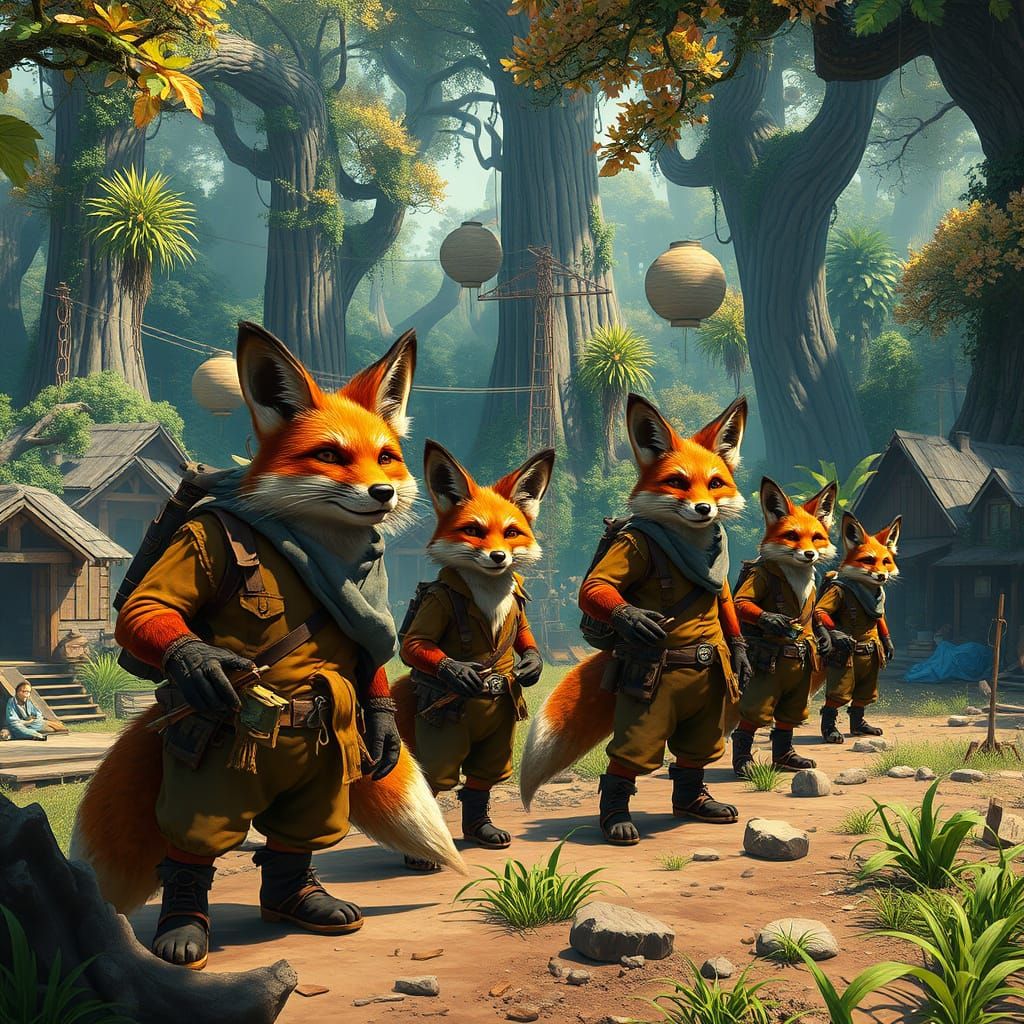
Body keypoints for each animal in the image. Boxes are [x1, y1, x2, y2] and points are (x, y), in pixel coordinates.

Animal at [71, 323, 463, 947]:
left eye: (385, 457)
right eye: (329, 456)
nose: (383, 493)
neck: (319, 548)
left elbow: (371, 668)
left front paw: (383, 728)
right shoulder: (201, 540)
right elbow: (148, 608)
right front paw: (204, 663)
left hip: (321, 773)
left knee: (296, 835)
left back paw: (300, 902)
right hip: (214, 775)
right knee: (195, 840)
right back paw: (183, 930)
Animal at [393, 441, 553, 868]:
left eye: (511, 532)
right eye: (474, 531)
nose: (499, 557)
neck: (487, 594)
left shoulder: (519, 611)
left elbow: (525, 637)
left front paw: (531, 666)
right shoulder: (435, 605)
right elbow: (415, 644)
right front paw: (459, 672)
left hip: (496, 736)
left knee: (483, 775)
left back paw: (480, 830)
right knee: (437, 779)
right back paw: (421, 853)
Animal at [519, 394, 752, 842]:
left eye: (715, 483)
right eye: (677, 482)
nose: (703, 509)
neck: (688, 546)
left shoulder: (720, 586)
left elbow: (725, 602)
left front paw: (742, 656)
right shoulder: (631, 546)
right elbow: (595, 588)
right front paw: (638, 621)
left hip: (706, 704)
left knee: (695, 752)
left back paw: (695, 803)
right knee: (629, 758)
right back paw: (616, 821)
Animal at [730, 478, 838, 776]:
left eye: (816, 537)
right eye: (791, 536)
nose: (809, 554)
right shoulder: (757, 579)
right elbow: (743, 602)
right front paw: (775, 621)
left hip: (798, 687)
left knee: (788, 717)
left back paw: (786, 759)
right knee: (750, 720)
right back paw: (743, 764)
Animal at [813, 511, 900, 742]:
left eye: (886, 561)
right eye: (868, 560)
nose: (882, 576)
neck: (866, 591)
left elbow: (881, 621)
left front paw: (889, 645)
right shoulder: (836, 591)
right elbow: (820, 612)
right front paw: (837, 636)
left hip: (869, 672)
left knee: (863, 696)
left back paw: (859, 727)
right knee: (836, 699)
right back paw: (831, 732)